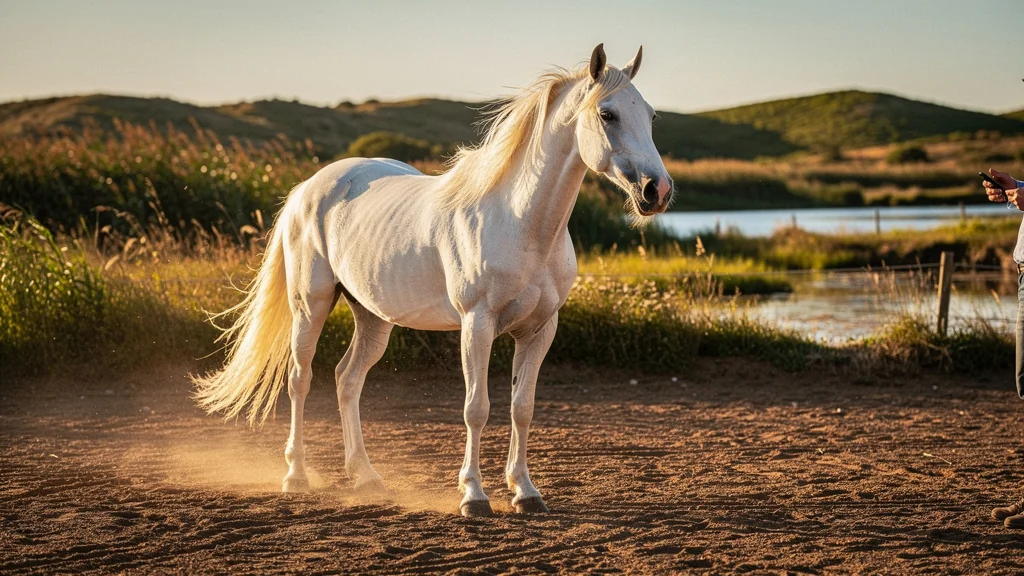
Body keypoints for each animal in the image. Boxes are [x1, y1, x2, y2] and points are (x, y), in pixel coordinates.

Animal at [192, 44, 674, 517]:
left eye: (651, 116)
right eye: (607, 113)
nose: (658, 190)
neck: (520, 223)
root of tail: (309, 187)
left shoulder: (539, 329)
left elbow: (522, 408)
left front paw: (525, 492)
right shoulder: (477, 325)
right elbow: (476, 409)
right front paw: (474, 496)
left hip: (372, 316)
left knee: (347, 380)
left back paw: (366, 478)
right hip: (310, 305)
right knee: (300, 378)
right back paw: (296, 476)